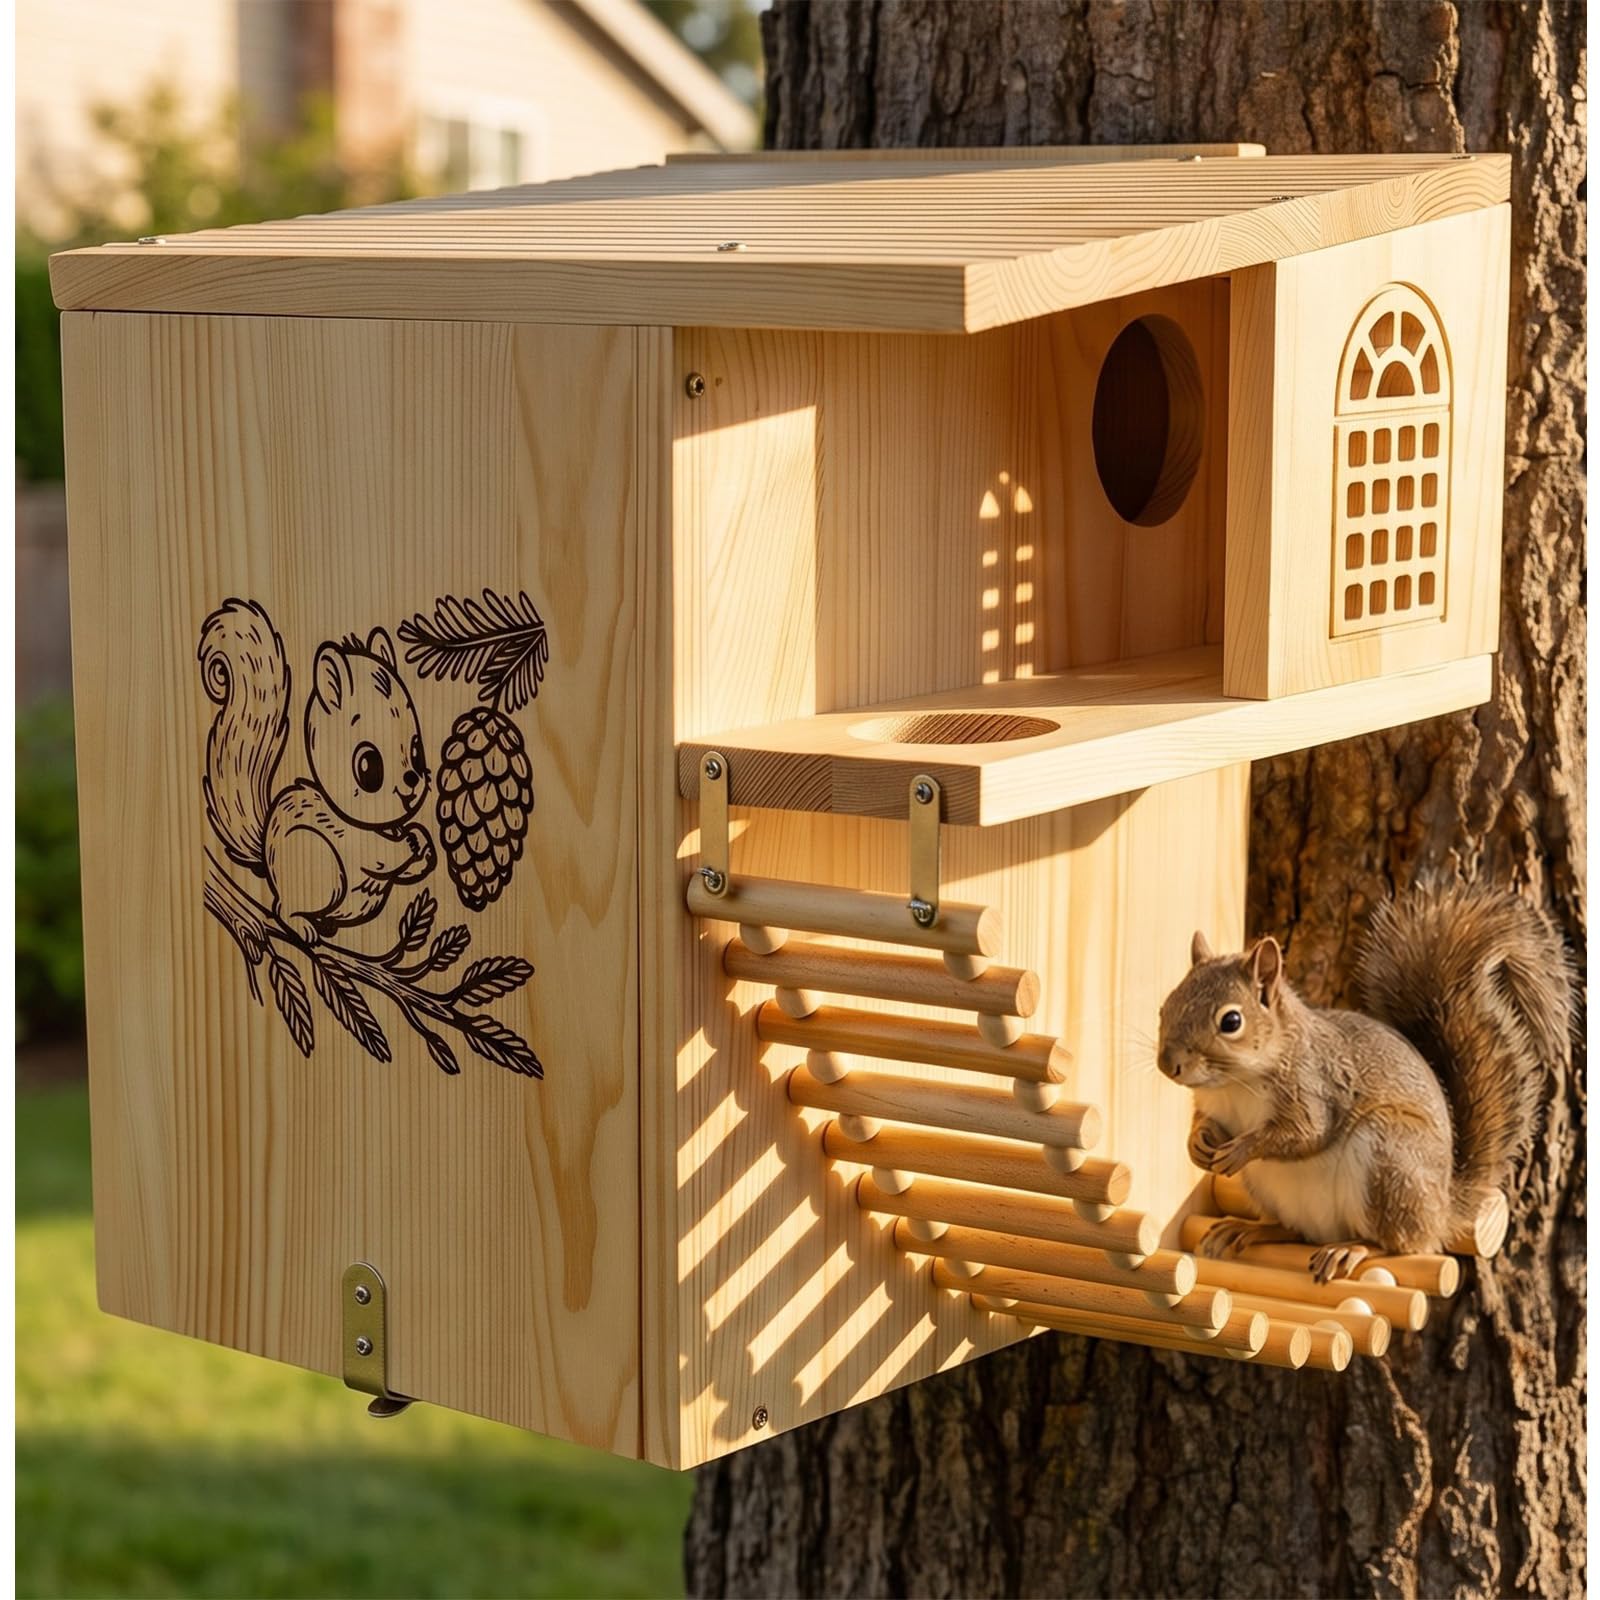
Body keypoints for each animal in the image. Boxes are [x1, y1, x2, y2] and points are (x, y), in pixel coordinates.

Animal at [200, 598, 436, 944]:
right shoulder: (349, 837)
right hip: (321, 865)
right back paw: (302, 926)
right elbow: (378, 854)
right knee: (284, 909)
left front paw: (422, 842)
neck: (370, 823)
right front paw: (408, 845)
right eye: (368, 767)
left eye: (418, 752)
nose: (412, 782)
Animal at [1156, 883, 1571, 1281]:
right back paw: (1251, 1230)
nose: (1167, 1065)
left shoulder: (1317, 1087)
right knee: (1295, 1232)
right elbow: (1206, 1124)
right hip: (1269, 1188)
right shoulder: (1215, 1106)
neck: (1234, 1082)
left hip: (1390, 1159)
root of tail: (1441, 1212)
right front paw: (1197, 1143)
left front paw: (1243, 1148)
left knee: (1401, 1245)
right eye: (1165, 1005)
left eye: (1231, 1022)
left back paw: (1353, 1248)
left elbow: (1304, 1134)